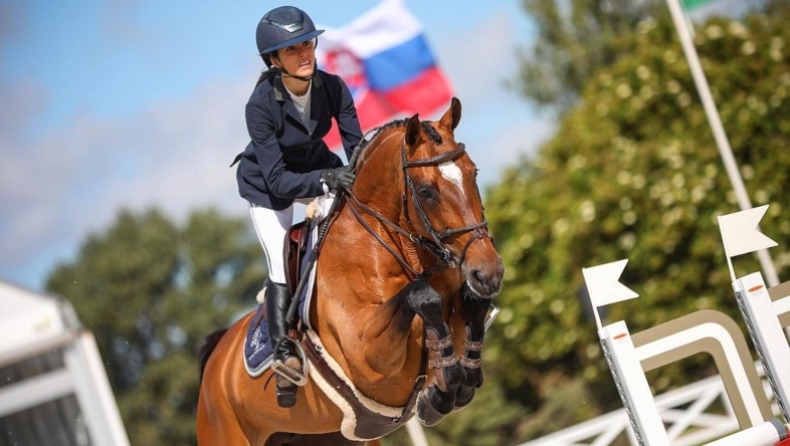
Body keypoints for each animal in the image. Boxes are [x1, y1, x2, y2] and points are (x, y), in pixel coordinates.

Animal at [197, 97, 504, 445]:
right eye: (426, 191)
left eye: (473, 173)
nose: (489, 272)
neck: (404, 252)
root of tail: (215, 362)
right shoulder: (366, 355)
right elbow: (421, 296)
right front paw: (443, 387)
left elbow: (471, 305)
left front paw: (456, 382)